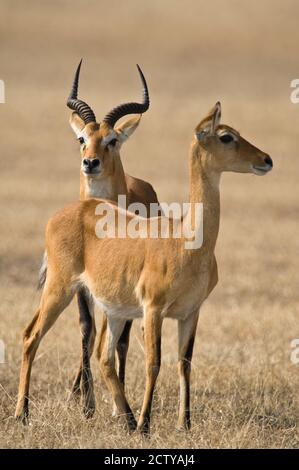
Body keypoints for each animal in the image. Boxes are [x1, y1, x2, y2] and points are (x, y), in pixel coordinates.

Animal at [15, 103, 274, 434]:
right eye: (226, 136)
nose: (265, 160)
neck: (186, 241)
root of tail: (68, 210)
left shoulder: (190, 312)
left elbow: (184, 363)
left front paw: (184, 423)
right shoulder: (153, 309)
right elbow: (154, 362)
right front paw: (145, 423)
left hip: (113, 310)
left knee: (104, 356)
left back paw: (125, 418)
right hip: (59, 289)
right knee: (31, 336)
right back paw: (23, 415)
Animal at [39, 60, 161, 416]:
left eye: (112, 141)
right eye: (82, 138)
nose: (90, 163)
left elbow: (117, 338)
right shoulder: (81, 283)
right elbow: (86, 328)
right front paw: (85, 402)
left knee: (120, 338)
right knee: (93, 332)